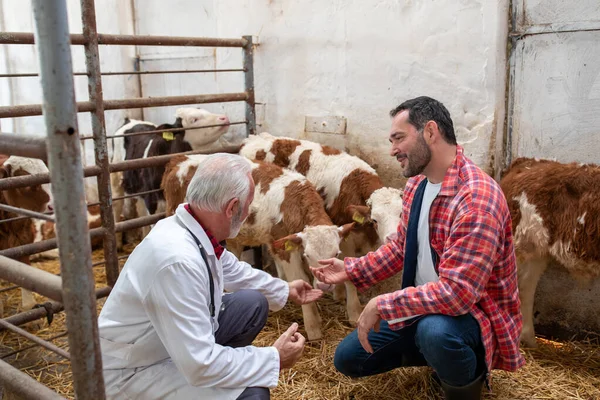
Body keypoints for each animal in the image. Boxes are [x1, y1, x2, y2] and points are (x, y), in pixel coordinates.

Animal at [162, 155, 358, 340]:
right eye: (308, 255)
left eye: (336, 253)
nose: (325, 285)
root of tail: (180, 159)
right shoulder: (284, 248)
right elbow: (301, 278)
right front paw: (313, 328)